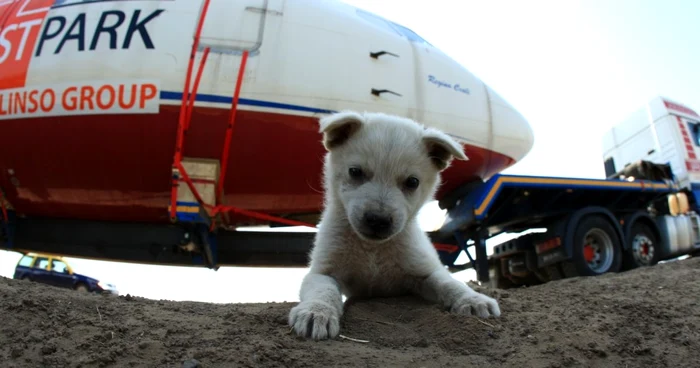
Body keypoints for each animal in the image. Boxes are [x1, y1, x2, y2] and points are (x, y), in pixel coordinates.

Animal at [288, 110, 500, 340]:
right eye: (355, 172)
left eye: (412, 182)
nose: (378, 220)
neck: (373, 250)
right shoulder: (322, 272)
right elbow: (323, 290)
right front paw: (316, 311)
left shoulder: (425, 271)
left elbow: (449, 283)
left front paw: (473, 299)